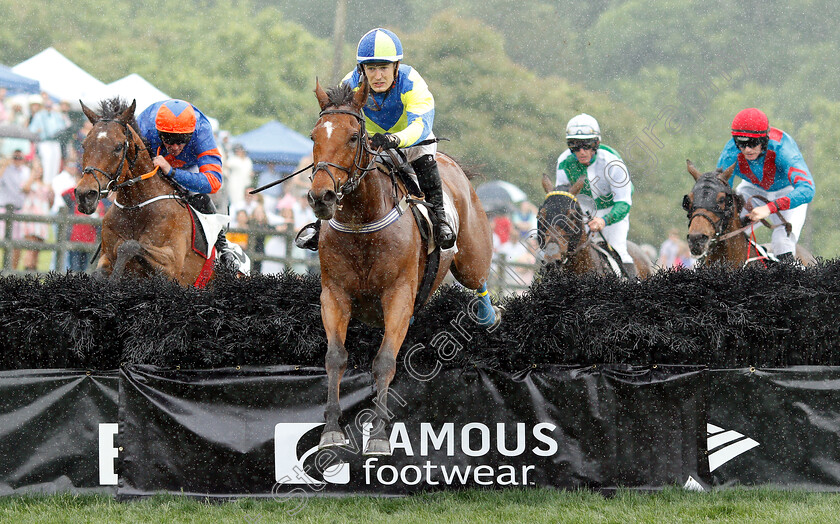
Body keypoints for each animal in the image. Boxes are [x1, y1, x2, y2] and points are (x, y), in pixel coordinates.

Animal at [74, 98, 213, 286]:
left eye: (118, 147)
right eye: (84, 145)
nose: (85, 194)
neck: (135, 208)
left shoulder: (172, 266)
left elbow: (128, 246)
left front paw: (116, 278)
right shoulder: (105, 256)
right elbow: (101, 270)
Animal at [308, 80, 496, 456]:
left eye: (354, 137)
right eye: (313, 136)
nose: (321, 196)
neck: (362, 222)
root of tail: (451, 163)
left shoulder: (398, 296)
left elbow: (384, 362)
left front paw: (379, 434)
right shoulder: (334, 295)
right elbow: (335, 357)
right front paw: (331, 431)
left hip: (471, 257)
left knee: (479, 278)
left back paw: (487, 315)